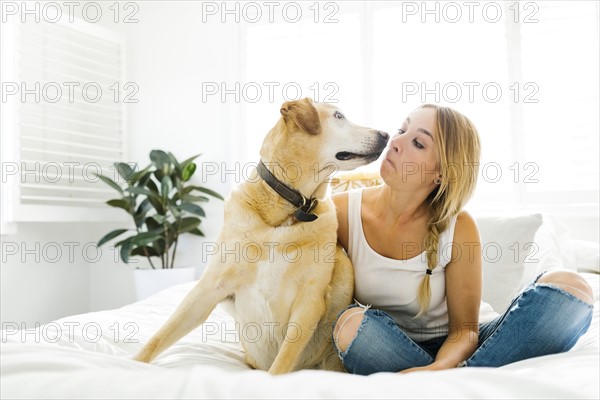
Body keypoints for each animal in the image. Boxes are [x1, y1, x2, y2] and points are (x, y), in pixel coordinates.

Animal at [135, 98, 390, 374]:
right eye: (338, 116)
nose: (386, 134)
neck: (289, 209)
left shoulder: (309, 300)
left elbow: (281, 364)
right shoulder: (209, 288)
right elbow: (160, 335)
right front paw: (131, 363)